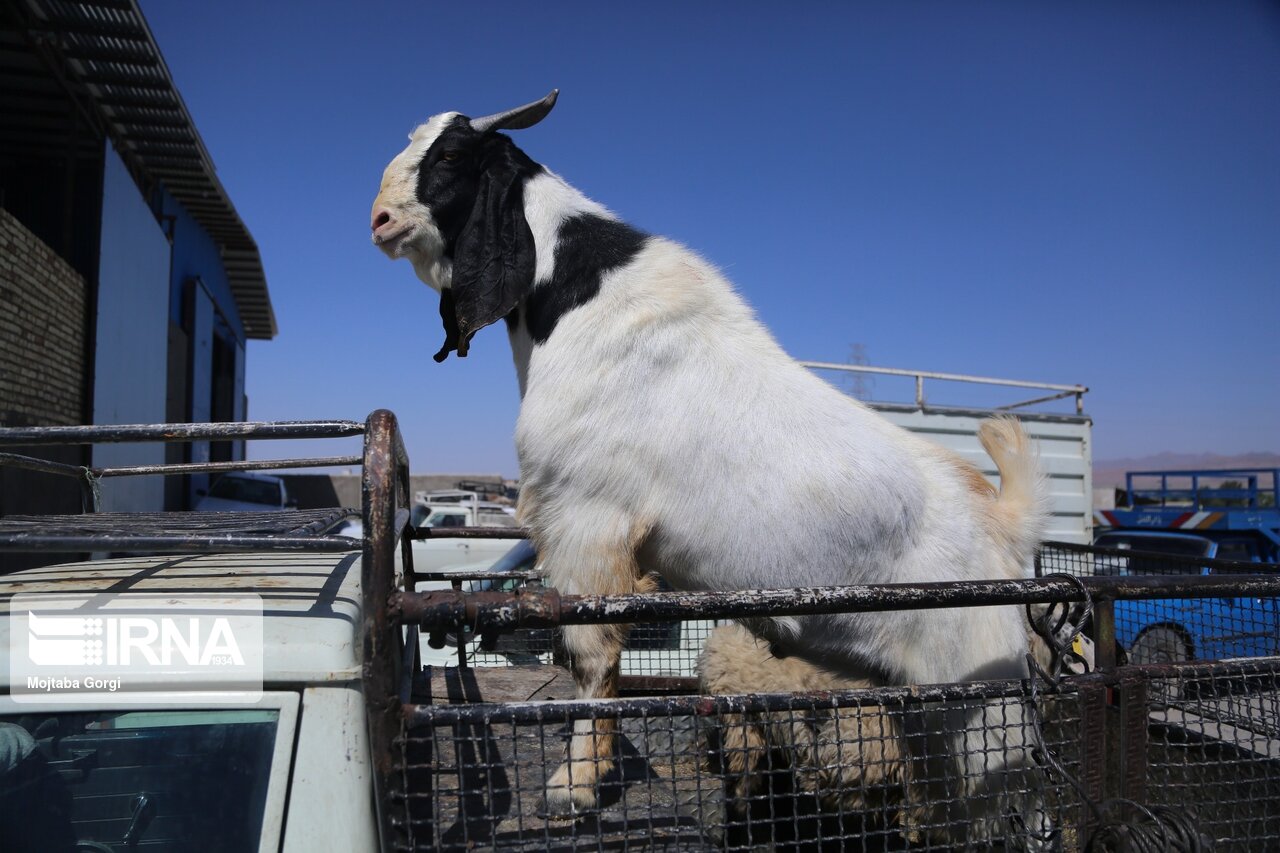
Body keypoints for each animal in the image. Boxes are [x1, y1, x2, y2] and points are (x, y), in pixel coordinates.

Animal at [371, 92, 1049, 829]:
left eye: (450, 156)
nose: (379, 220)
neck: (574, 298)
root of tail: (1001, 520)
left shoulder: (588, 518)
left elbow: (588, 656)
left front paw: (573, 787)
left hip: (984, 708)